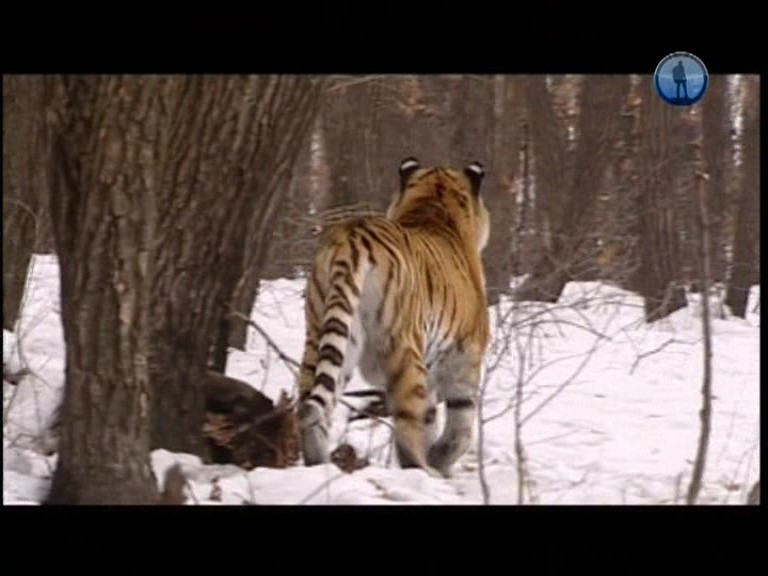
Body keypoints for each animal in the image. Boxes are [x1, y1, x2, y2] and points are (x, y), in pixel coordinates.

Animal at [297, 157, 491, 478]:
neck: (434, 208)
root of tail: (352, 239)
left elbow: (431, 418)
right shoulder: (465, 358)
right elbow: (459, 427)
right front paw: (440, 461)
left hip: (325, 335)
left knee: (310, 404)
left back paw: (319, 464)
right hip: (404, 348)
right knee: (407, 430)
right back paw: (423, 472)